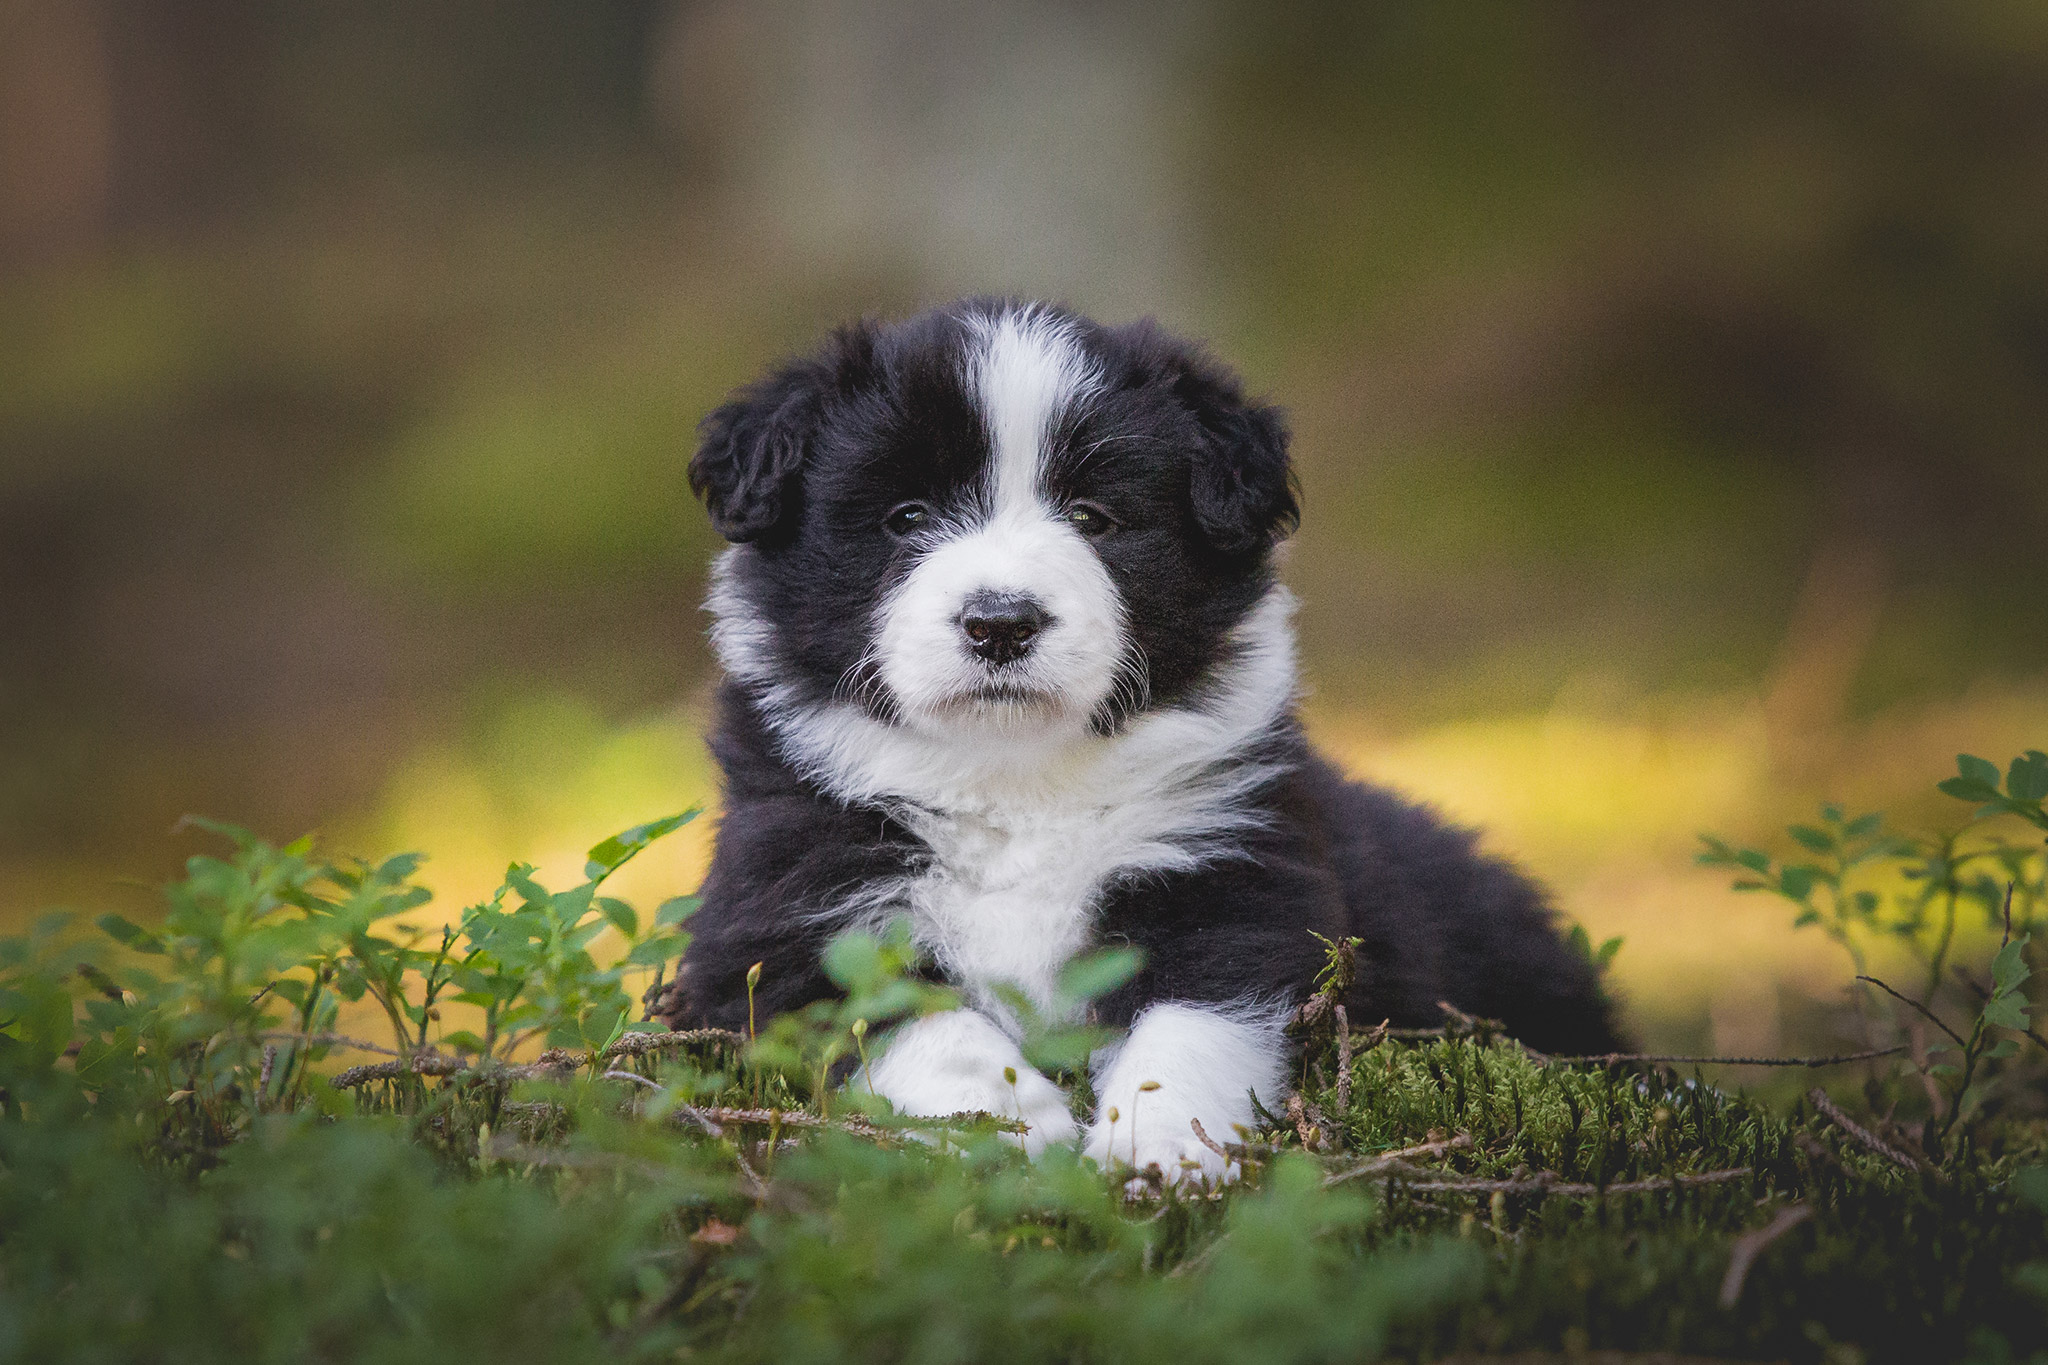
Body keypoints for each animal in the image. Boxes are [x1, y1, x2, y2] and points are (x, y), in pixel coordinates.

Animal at [647, 298, 1622, 1186]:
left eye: (1095, 517)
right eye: (906, 515)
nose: (1001, 623)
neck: (1017, 779)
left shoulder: (1234, 873)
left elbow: (1193, 1016)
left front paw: (1161, 1147)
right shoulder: (785, 908)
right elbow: (906, 1007)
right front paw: (1006, 1121)